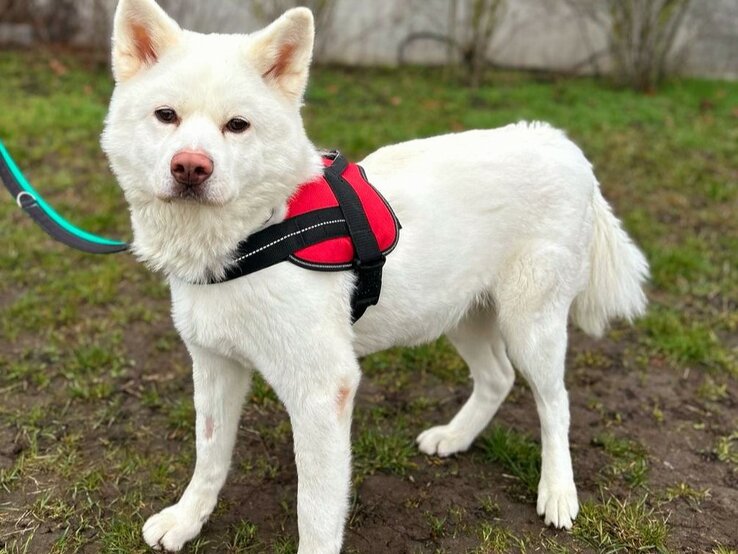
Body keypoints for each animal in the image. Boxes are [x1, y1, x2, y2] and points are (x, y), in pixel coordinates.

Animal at [100, 2, 648, 548]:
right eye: (166, 115)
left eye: (237, 125)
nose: (191, 167)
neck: (257, 232)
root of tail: (561, 144)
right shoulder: (215, 365)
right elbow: (209, 455)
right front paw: (186, 520)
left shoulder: (324, 389)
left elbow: (316, 509)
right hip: (460, 313)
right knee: (498, 378)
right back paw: (455, 437)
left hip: (531, 325)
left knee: (555, 402)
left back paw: (557, 492)